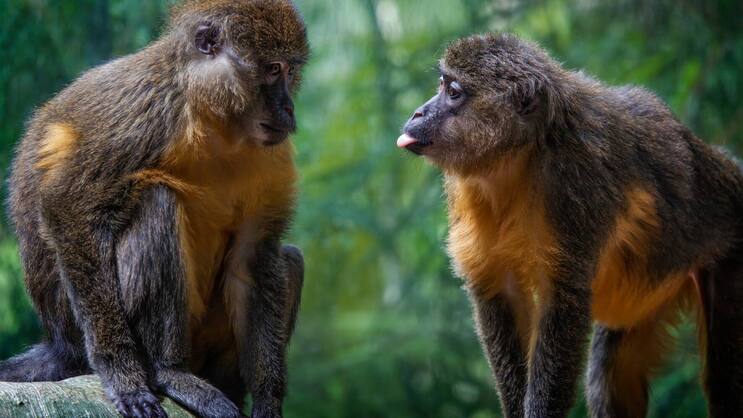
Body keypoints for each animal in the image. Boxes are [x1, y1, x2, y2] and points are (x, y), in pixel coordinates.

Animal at [0, 1, 309, 418]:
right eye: (273, 69)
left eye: (290, 71)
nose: (288, 107)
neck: (212, 119)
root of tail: (59, 341)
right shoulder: (146, 110)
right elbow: (68, 210)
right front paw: (122, 376)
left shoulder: (273, 155)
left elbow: (253, 257)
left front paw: (267, 400)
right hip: (78, 326)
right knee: (156, 203)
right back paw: (168, 370)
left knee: (289, 259)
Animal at [397, 33, 743, 418]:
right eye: (442, 85)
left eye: (453, 92)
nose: (418, 112)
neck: (521, 156)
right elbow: (499, 291)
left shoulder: (575, 179)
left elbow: (563, 300)